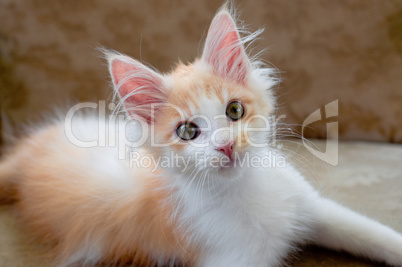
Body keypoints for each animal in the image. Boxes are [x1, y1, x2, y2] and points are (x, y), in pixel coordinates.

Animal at [0, 3, 402, 267]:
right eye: (188, 131)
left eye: (235, 111)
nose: (226, 145)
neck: (242, 190)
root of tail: (25, 152)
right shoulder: (232, 259)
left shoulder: (315, 209)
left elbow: (373, 235)